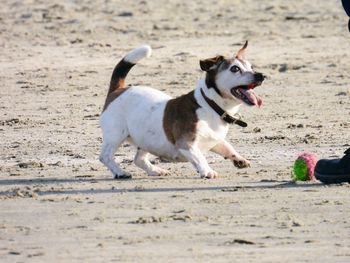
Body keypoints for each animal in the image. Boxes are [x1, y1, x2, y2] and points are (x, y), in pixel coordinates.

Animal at [100, 42, 264, 179]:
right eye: (235, 69)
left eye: (251, 67)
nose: (260, 75)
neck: (210, 105)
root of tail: (118, 90)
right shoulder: (186, 144)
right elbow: (200, 157)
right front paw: (207, 171)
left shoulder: (215, 139)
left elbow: (227, 147)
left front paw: (239, 159)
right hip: (116, 135)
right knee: (105, 156)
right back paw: (120, 172)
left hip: (146, 138)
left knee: (138, 159)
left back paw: (155, 170)